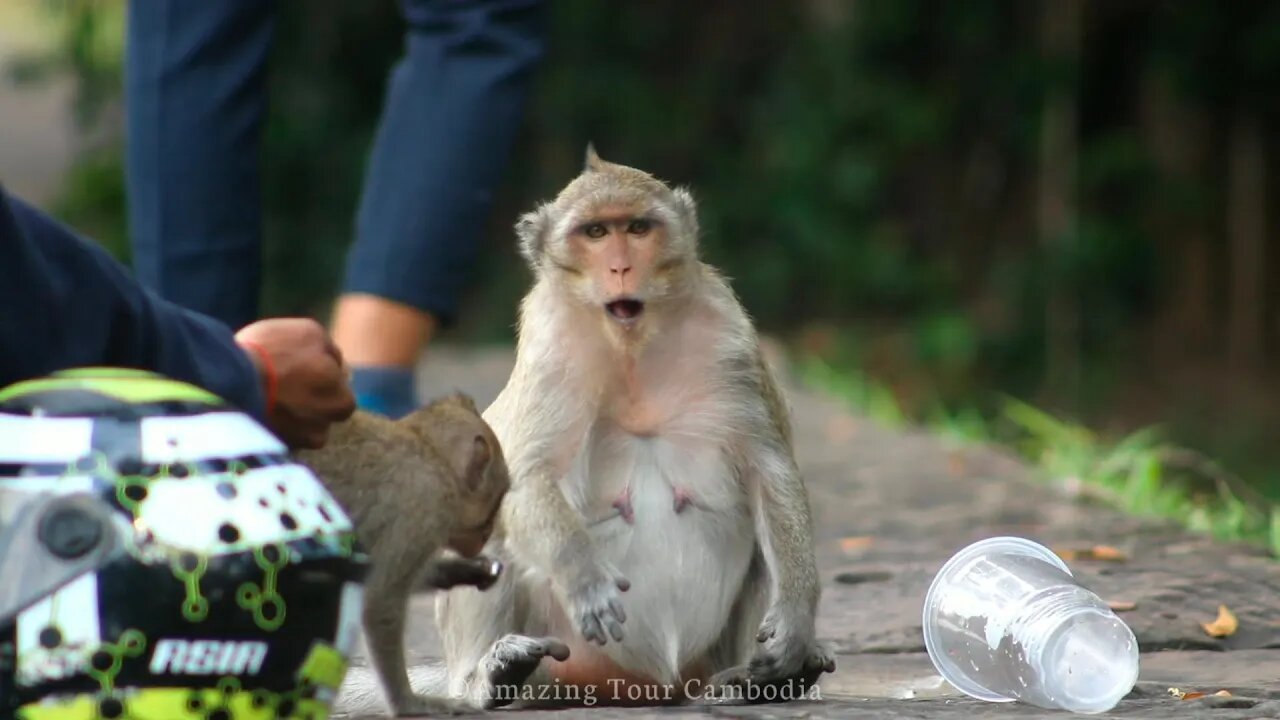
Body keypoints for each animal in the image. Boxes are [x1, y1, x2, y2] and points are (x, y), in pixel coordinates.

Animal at [294, 389, 509, 712]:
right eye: (496, 501)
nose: (487, 534)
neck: (431, 455)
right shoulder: (422, 509)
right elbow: (380, 601)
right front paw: (406, 702)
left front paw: (466, 571)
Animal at [435, 146, 834, 707]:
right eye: (596, 232)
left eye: (639, 228)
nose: (621, 266)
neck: (631, 346)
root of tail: (654, 685)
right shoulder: (549, 347)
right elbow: (526, 473)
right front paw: (584, 578)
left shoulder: (728, 334)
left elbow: (768, 467)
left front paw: (795, 622)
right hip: (562, 660)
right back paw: (488, 677)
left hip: (703, 659)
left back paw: (756, 680)